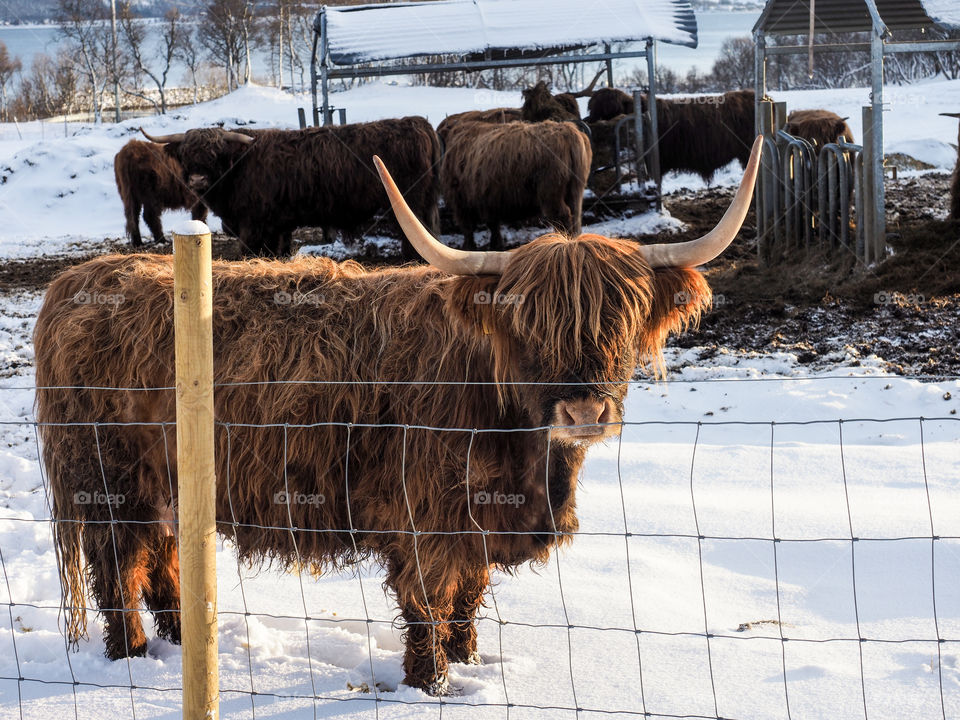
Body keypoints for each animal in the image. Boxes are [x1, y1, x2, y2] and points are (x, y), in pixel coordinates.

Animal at [35, 136, 761, 695]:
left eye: (622, 319)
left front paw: (470, 662)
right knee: (117, 567)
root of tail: (79, 281)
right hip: (109, 481)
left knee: (162, 561)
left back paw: (182, 643)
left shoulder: (477, 526)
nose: (583, 406)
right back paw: (133, 655)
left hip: (168, 486)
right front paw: (429, 682)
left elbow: (467, 597)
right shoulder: (423, 517)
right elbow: (426, 601)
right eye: (527, 324)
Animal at [141, 116, 441, 260]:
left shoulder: (254, 226)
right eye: (186, 155)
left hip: (412, 203)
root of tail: (418, 122)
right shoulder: (278, 226)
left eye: (214, 155)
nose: (197, 181)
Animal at [440, 120, 592, 250]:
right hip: (575, 191)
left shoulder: (462, 202)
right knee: (575, 216)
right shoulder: (489, 201)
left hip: (551, 195)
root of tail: (569, 132)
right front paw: (496, 245)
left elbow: (469, 228)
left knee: (562, 216)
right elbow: (492, 225)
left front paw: (470, 247)